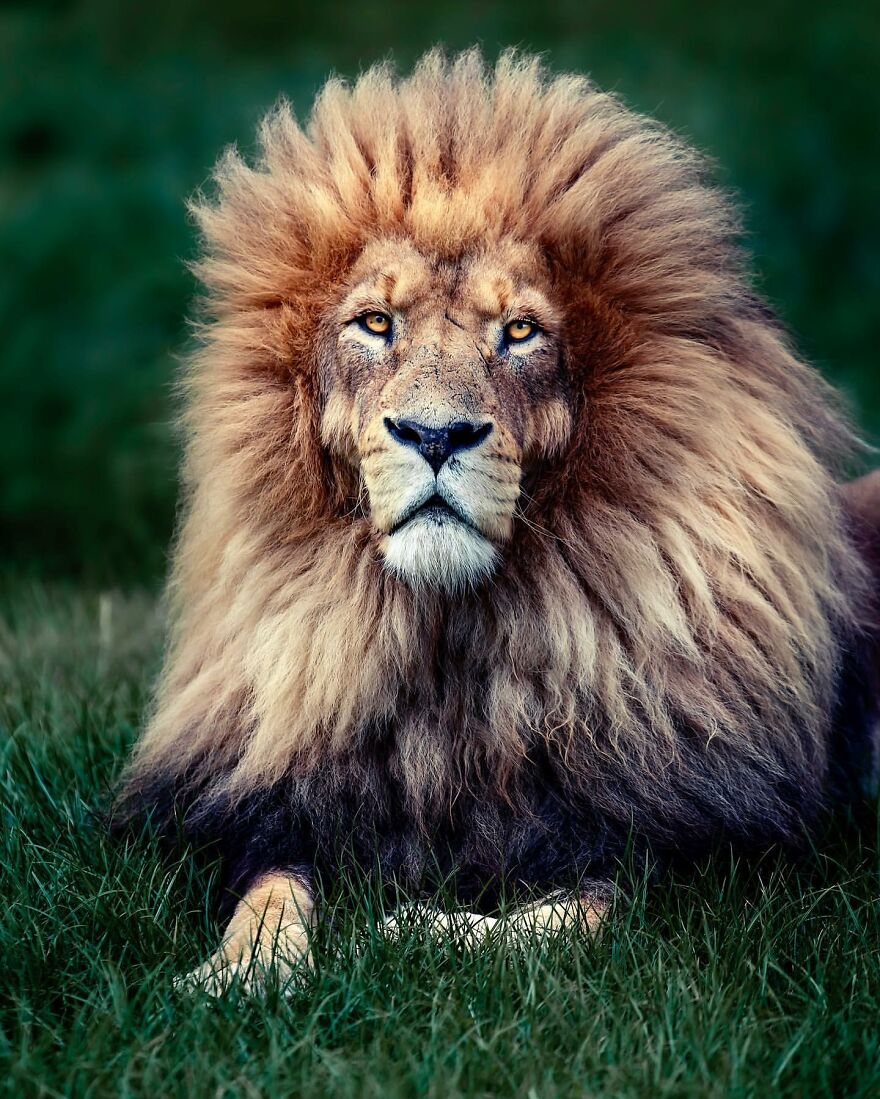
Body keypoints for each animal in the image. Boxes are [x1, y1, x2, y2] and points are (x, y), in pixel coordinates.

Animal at [114, 49, 879, 993]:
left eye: (519, 331)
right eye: (376, 323)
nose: (435, 434)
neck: (449, 643)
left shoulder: (699, 855)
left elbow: (572, 913)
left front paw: (411, 927)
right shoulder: (284, 808)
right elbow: (270, 888)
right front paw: (234, 975)